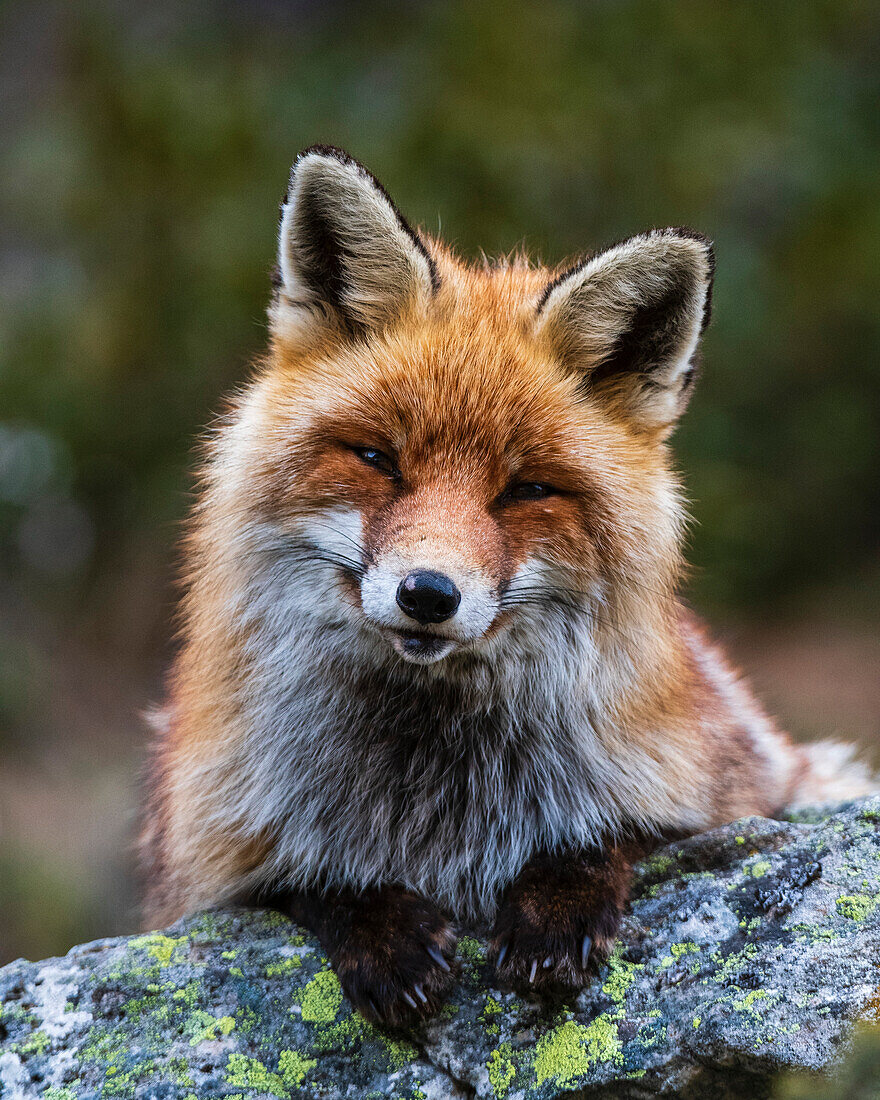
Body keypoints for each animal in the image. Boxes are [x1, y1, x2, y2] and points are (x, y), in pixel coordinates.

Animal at [140, 144, 871, 1020]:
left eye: (526, 490)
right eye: (378, 458)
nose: (428, 594)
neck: (437, 788)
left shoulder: (739, 792)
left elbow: (616, 831)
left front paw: (556, 906)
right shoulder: (204, 863)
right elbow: (305, 879)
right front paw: (380, 930)